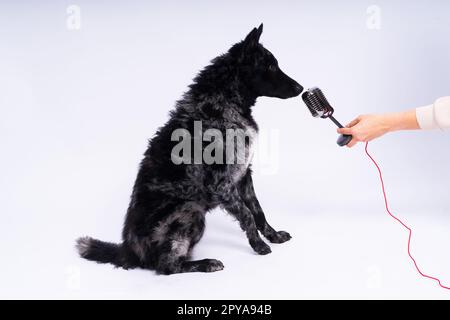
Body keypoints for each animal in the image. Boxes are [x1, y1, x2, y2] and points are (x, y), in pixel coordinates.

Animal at [77, 24, 302, 276]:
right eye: (270, 66)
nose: (301, 88)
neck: (222, 103)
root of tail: (128, 251)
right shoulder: (222, 185)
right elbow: (247, 215)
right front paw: (259, 246)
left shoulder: (244, 175)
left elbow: (258, 211)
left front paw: (273, 236)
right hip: (190, 210)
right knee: (167, 266)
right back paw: (206, 263)